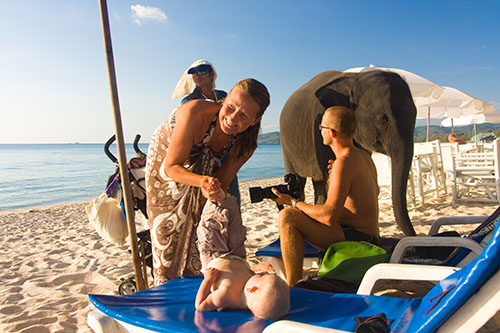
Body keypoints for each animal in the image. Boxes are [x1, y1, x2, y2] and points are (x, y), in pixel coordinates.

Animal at [282, 70, 418, 236]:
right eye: (383, 119)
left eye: (416, 115)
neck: (353, 79)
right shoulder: (318, 124)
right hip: (287, 148)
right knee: (300, 184)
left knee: (318, 184)